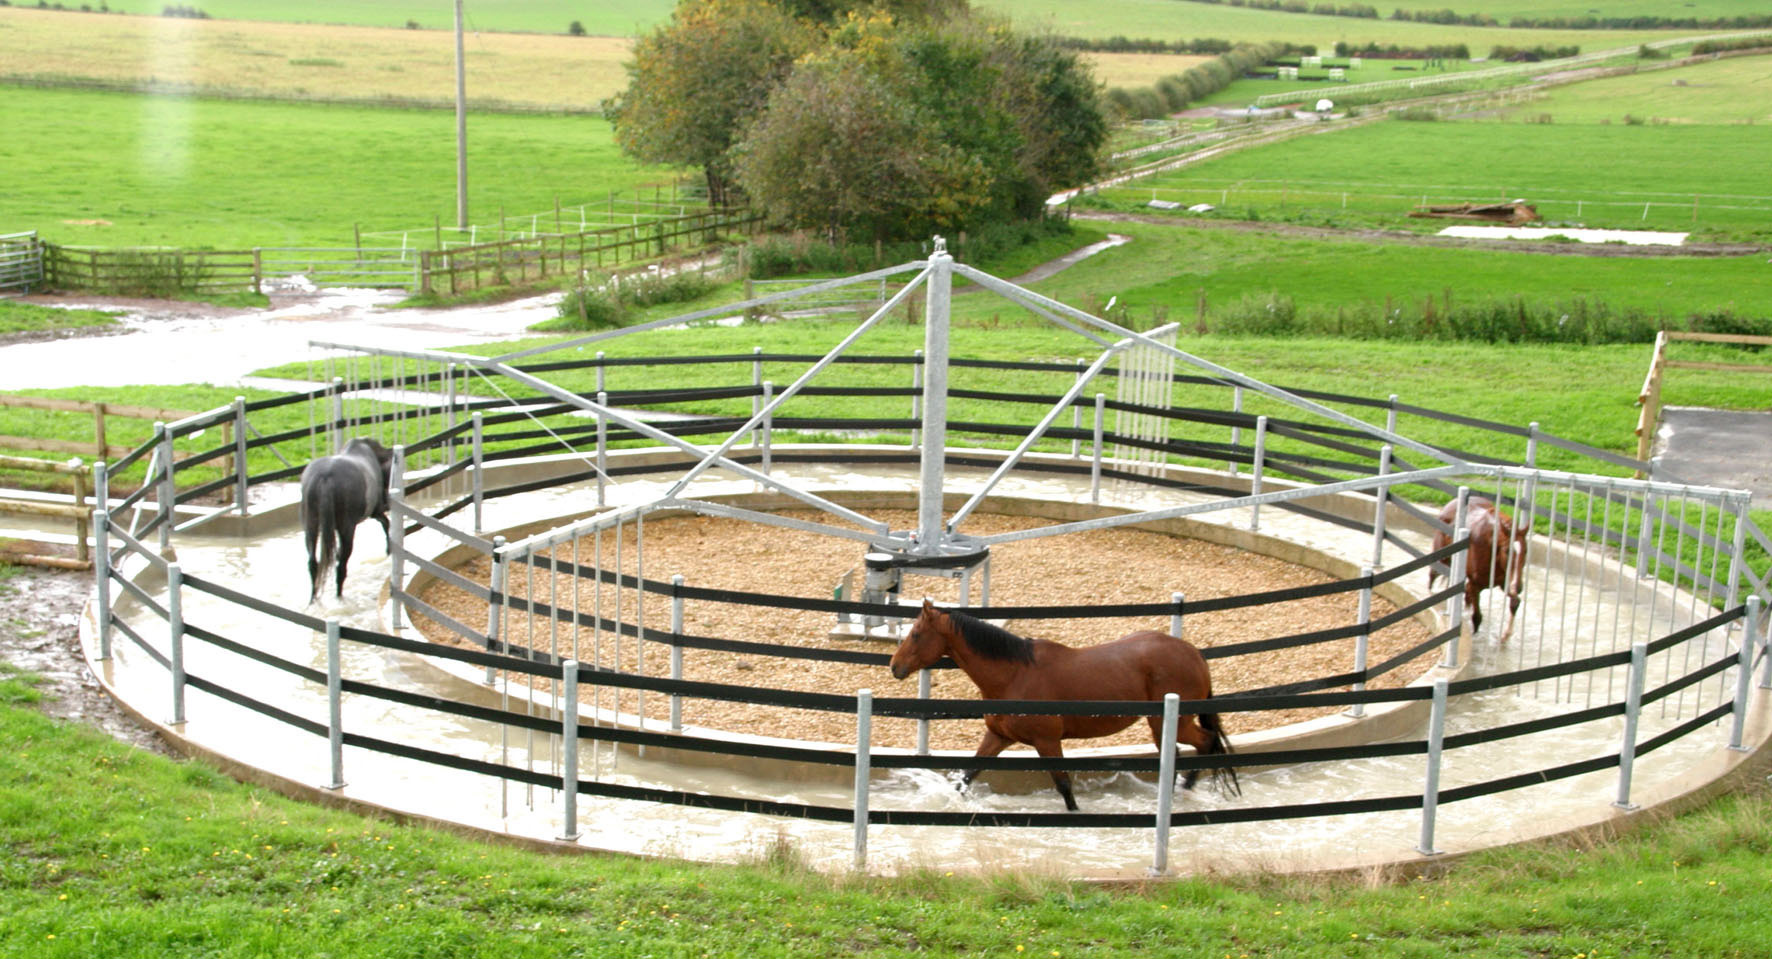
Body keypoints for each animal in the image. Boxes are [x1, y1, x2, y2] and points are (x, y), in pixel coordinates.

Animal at [299, 439, 393, 602]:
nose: (387, 501)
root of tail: (326, 476)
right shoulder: (375, 511)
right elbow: (386, 523)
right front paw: (388, 550)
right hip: (347, 528)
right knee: (341, 567)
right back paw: (338, 596)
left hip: (311, 526)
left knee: (313, 563)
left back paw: (313, 599)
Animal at [886, 602, 1233, 811]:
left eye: (916, 634)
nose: (894, 667)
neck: (1014, 674)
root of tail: (1193, 654)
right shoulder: (998, 737)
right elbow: (966, 777)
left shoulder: (1047, 741)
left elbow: (1064, 784)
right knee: (1186, 751)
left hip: (1170, 721)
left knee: (1204, 743)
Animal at [1431, 492, 1531, 641]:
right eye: (1507, 551)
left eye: (1525, 551)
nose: (1518, 587)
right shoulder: (1476, 585)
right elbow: (1477, 618)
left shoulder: (1505, 582)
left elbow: (1515, 602)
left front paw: (1506, 635)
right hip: (1441, 560)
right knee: (1432, 576)